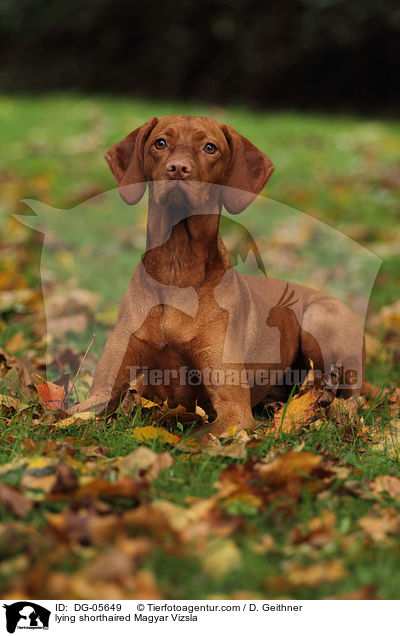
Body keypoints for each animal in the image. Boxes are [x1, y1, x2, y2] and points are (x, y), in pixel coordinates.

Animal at [72, 115, 366, 438]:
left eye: (210, 147)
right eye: (160, 143)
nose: (177, 168)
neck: (176, 268)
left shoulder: (234, 410)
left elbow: (194, 439)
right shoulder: (100, 393)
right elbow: (63, 416)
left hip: (320, 319)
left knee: (351, 399)